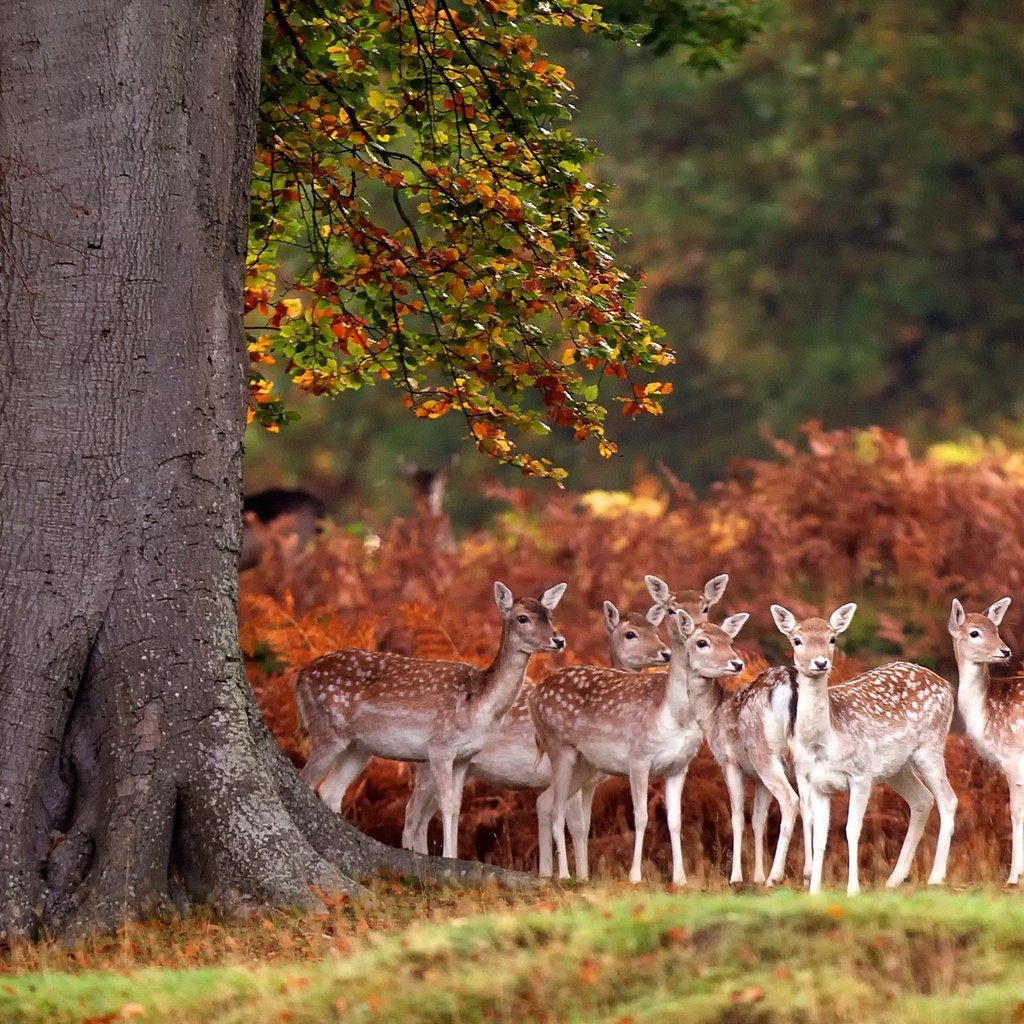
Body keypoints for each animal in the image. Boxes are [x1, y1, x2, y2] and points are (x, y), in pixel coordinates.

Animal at [296, 581, 569, 860]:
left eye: (550, 615)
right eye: (522, 618)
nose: (558, 640)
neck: (478, 705)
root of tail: (301, 676)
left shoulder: (464, 756)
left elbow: (456, 806)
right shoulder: (440, 746)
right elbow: (446, 804)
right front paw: (449, 857)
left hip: (359, 748)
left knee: (331, 789)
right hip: (326, 730)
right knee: (307, 778)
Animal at [399, 598, 671, 872]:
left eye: (656, 630)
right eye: (630, 634)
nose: (665, 653)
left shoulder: (589, 782)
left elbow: (580, 824)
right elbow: (576, 825)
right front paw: (575, 875)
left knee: (424, 816)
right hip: (429, 763)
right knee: (412, 813)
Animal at [528, 598, 745, 888]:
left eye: (730, 640)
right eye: (702, 642)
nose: (737, 663)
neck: (675, 715)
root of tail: (535, 694)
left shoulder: (679, 766)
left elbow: (675, 820)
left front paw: (680, 878)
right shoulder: (639, 759)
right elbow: (641, 817)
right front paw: (635, 876)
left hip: (586, 765)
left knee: (545, 801)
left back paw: (553, 874)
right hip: (560, 748)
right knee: (557, 808)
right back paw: (564, 875)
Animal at [774, 602, 958, 892]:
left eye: (832, 638)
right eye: (797, 640)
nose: (820, 662)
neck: (824, 742)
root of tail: (947, 686)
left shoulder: (860, 774)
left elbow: (851, 829)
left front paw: (853, 889)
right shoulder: (817, 783)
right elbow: (820, 835)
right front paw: (814, 890)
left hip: (930, 746)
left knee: (948, 799)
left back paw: (935, 877)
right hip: (896, 768)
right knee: (922, 799)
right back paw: (894, 878)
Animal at [942, 598, 1024, 884]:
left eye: (995, 628)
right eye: (975, 632)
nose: (1005, 650)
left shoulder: (1012, 755)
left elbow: (1015, 812)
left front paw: (1013, 878)